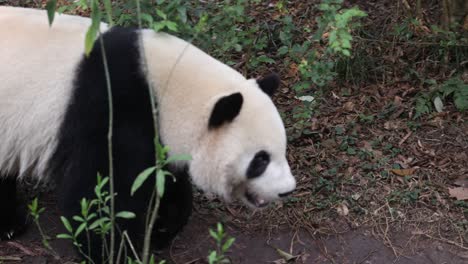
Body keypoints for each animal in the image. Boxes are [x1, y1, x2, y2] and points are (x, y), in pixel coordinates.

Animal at [0, 6, 296, 262]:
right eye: (260, 159)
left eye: (282, 150)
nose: (287, 191)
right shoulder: (112, 113)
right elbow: (98, 192)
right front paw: (115, 252)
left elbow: (165, 183)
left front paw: (160, 231)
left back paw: (10, 225)